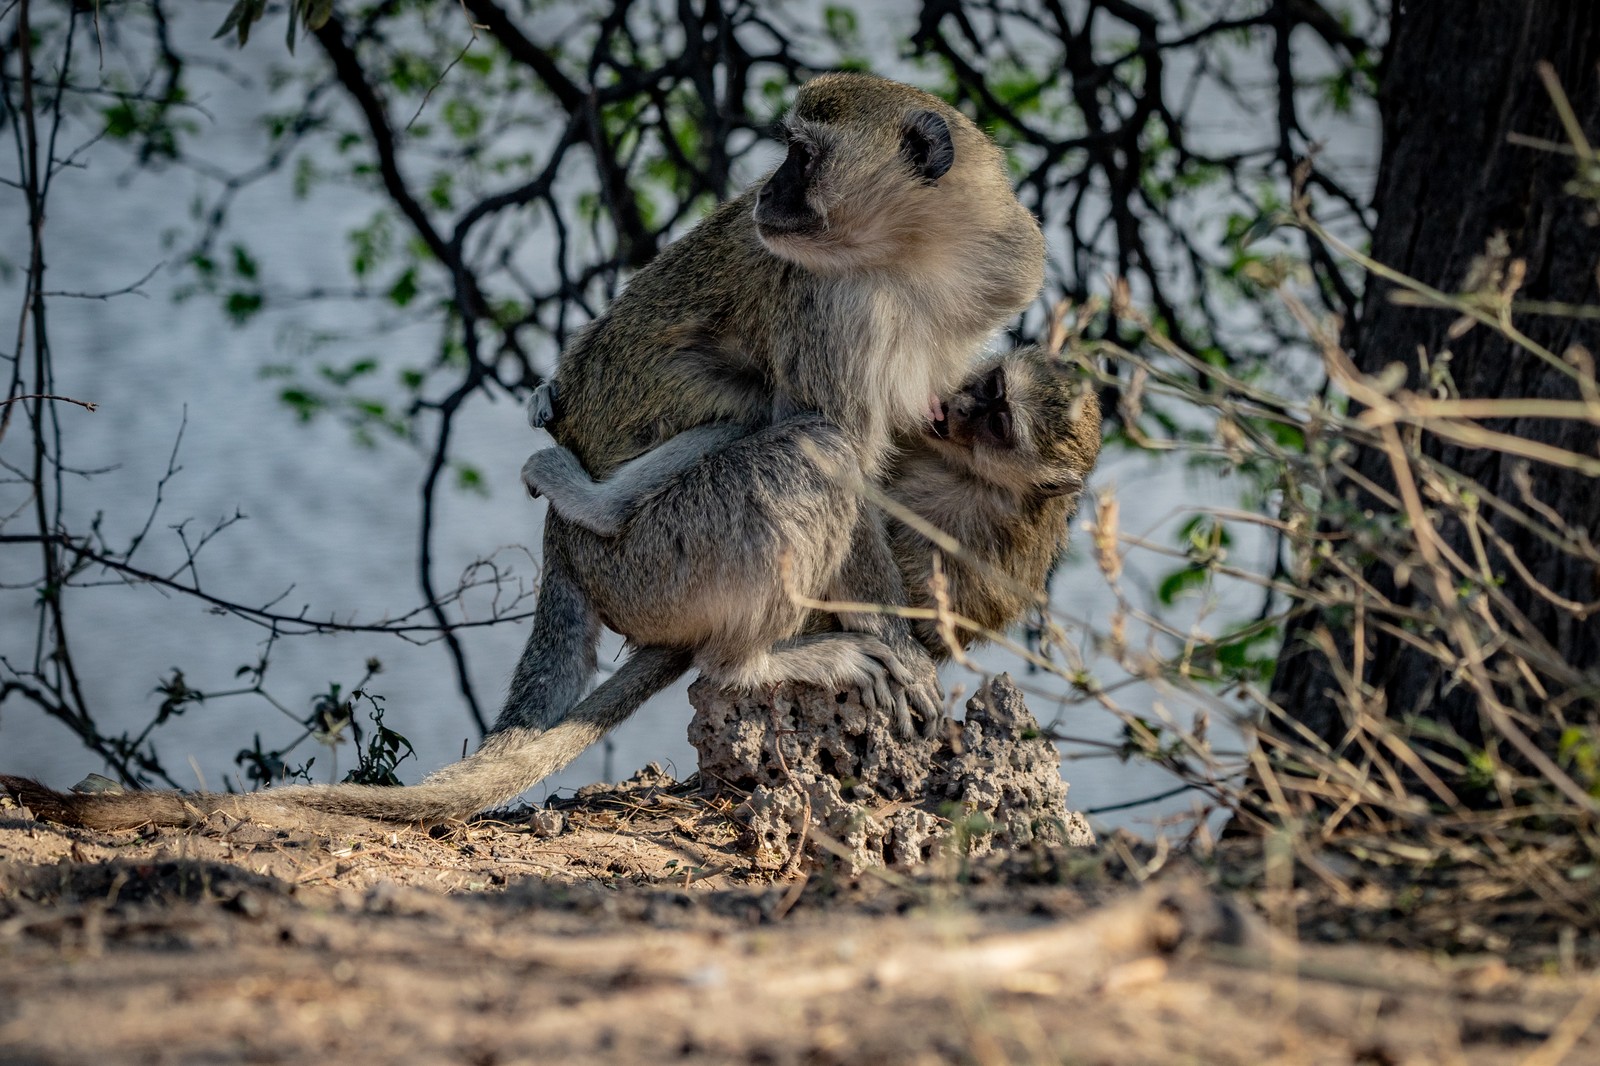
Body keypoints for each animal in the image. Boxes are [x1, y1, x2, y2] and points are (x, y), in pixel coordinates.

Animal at [3, 70, 1049, 825]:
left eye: (801, 154)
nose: (767, 194)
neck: (917, 256)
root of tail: (570, 551)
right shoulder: (829, 306)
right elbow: (842, 448)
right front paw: (897, 646)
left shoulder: (1003, 272)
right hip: (659, 563)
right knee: (808, 445)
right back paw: (739, 653)